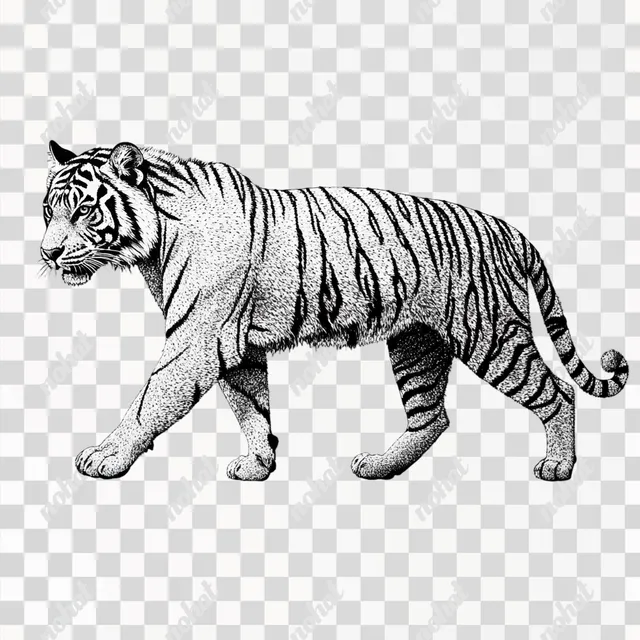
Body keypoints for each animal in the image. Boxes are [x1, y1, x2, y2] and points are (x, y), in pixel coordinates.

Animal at [40, 140, 629, 483]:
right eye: (48, 211)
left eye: (84, 210)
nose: (46, 253)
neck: (155, 242)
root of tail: (507, 230)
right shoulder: (232, 343)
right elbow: (251, 406)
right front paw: (258, 464)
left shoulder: (196, 339)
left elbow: (151, 400)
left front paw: (105, 457)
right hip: (417, 342)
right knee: (431, 415)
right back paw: (379, 467)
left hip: (491, 335)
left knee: (557, 391)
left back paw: (558, 465)